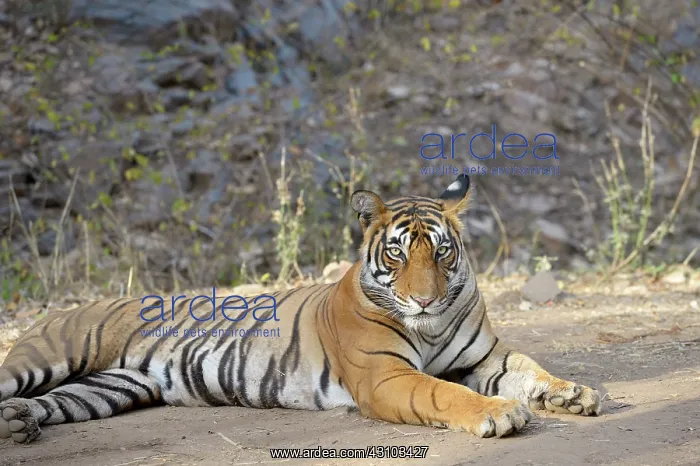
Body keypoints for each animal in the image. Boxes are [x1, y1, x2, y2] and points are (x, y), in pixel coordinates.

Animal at [0, 174, 600, 445]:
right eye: (397, 253)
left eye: (442, 252)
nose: (425, 298)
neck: (429, 326)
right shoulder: (385, 376)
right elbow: (442, 392)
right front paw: (498, 413)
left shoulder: (486, 358)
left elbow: (530, 369)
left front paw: (573, 394)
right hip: (46, 359)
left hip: (108, 387)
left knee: (53, 402)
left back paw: (19, 422)